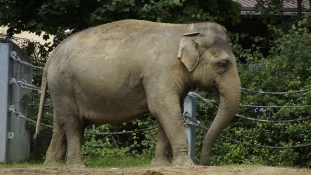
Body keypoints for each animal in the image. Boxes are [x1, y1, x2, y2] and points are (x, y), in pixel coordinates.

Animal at [35, 19, 243, 167]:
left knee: (59, 122)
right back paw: (77, 166)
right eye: (222, 64)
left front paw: (161, 165)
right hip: (64, 84)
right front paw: (185, 165)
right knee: (73, 124)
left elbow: (166, 113)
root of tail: (52, 55)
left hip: (60, 87)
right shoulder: (159, 73)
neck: (186, 29)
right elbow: (165, 108)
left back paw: (53, 165)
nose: (204, 163)